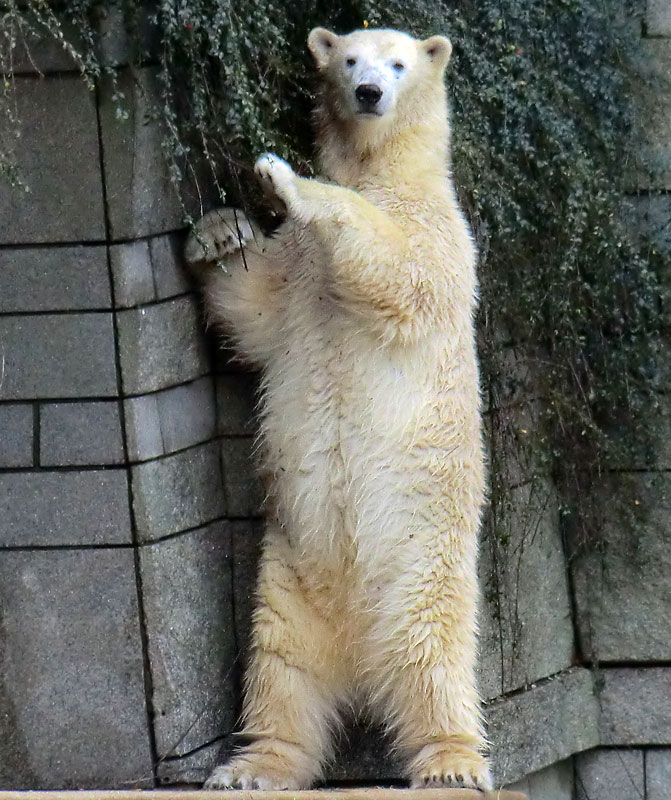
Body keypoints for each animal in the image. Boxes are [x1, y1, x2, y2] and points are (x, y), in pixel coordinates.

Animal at [186, 25, 490, 792]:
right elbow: (254, 312)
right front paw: (220, 230)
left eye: (399, 63)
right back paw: (251, 765)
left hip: (420, 566)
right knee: (280, 671)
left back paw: (450, 761)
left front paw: (284, 179)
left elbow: (396, 268)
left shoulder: (442, 239)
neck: (380, 169)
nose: (370, 92)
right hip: (287, 576)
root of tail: (358, 648)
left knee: (432, 657)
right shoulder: (294, 275)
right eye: (349, 59)